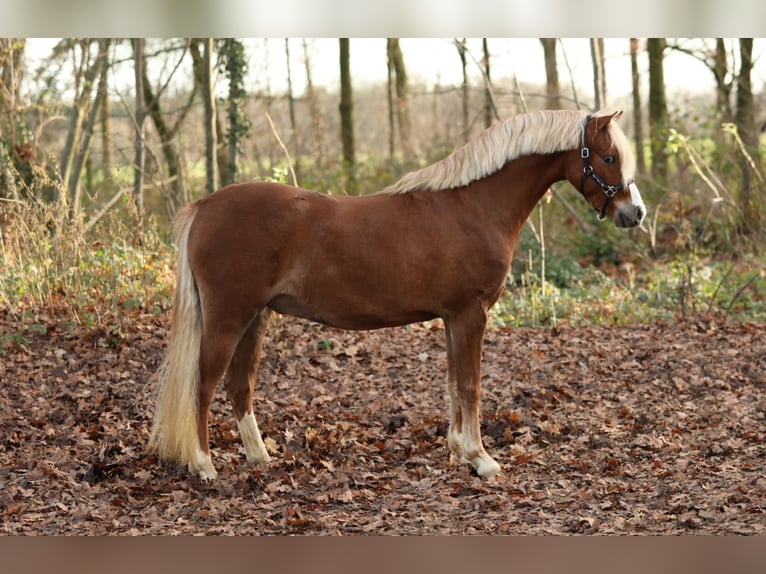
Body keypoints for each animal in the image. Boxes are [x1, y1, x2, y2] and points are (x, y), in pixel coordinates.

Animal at [148, 109, 646, 481]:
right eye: (607, 157)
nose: (635, 214)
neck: (473, 206)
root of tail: (205, 206)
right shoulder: (470, 314)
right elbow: (470, 384)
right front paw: (482, 459)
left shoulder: (453, 317)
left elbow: (453, 382)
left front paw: (459, 451)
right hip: (229, 317)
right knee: (204, 383)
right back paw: (204, 465)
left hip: (257, 317)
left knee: (240, 384)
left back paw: (260, 457)